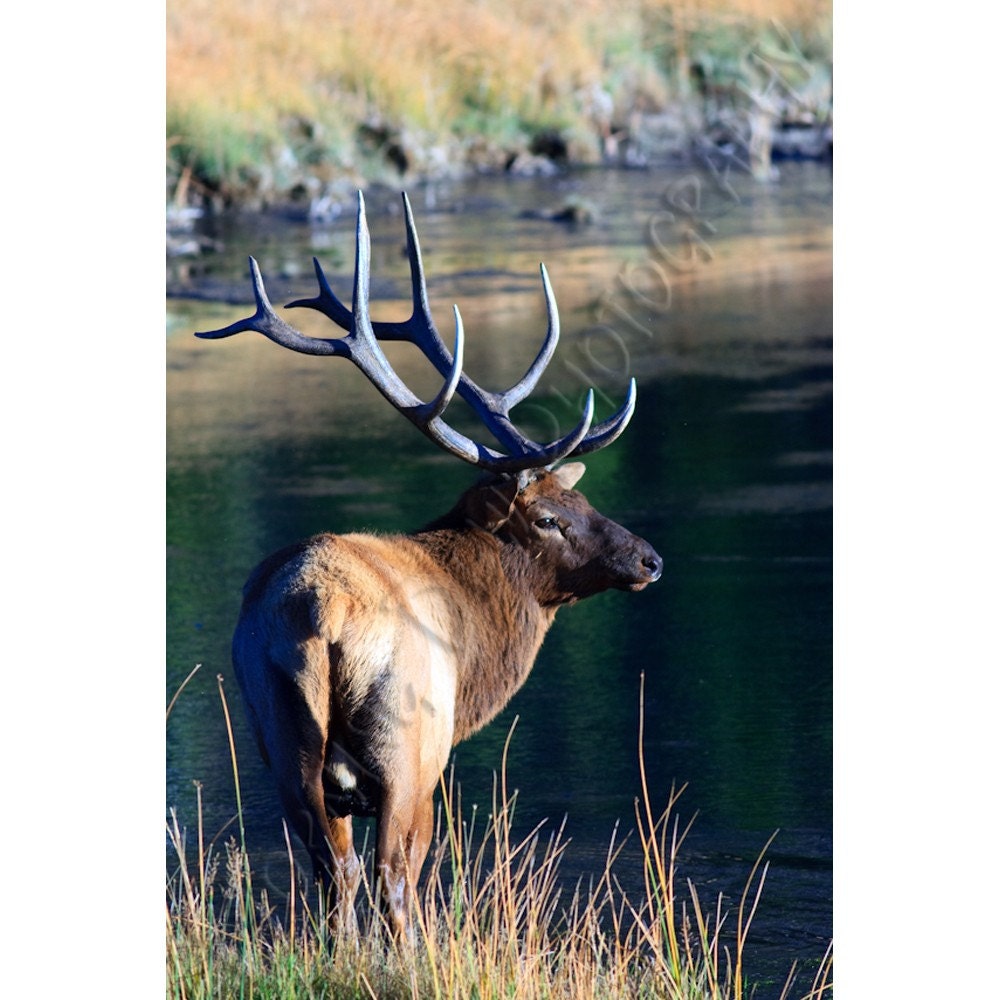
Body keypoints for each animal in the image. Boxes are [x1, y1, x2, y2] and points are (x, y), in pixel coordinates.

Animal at [195, 191, 662, 937]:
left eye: (582, 496)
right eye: (549, 518)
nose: (649, 558)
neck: (477, 650)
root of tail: (320, 609)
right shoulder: (435, 751)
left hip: (280, 735)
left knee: (335, 873)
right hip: (405, 744)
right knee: (392, 876)